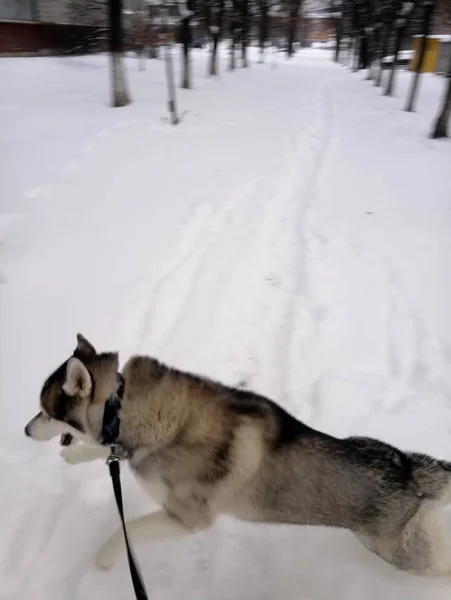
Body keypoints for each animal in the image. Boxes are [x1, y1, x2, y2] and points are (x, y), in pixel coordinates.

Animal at [23, 336, 451, 576]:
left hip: (396, 551)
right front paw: (78, 456)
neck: (125, 406)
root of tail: (408, 470)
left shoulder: (188, 518)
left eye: (44, 411)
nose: (26, 430)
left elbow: (124, 531)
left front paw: (104, 559)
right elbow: (106, 450)